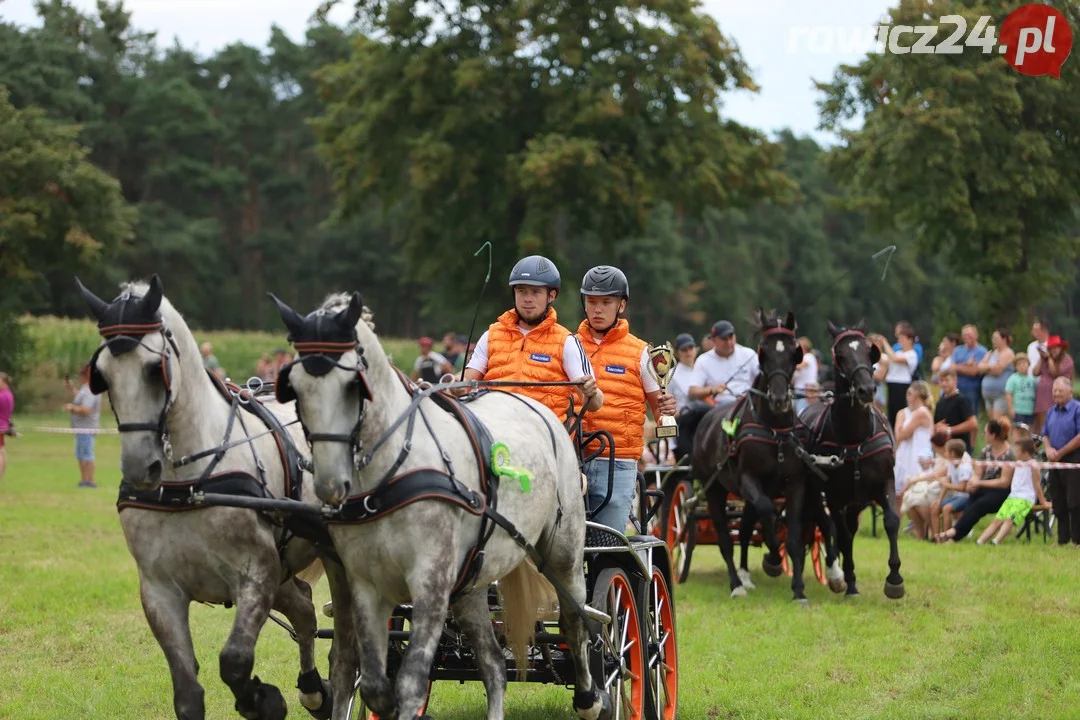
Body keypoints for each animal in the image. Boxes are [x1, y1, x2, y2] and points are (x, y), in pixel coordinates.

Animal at [77, 278, 349, 720]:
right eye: (100, 375)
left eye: (154, 369)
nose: (140, 467)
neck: (189, 483)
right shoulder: (159, 590)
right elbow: (188, 693)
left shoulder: (256, 574)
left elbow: (234, 661)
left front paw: (263, 700)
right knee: (304, 610)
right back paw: (313, 691)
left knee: (344, 644)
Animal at [270, 291, 609, 720]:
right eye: (293, 386)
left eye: (352, 385)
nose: (329, 483)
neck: (394, 471)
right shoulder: (366, 583)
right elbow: (377, 683)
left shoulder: (430, 582)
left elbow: (411, 680)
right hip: (473, 581)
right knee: (493, 662)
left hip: (563, 553)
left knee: (575, 621)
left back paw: (591, 698)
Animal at [695, 310, 812, 604]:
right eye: (765, 352)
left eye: (794, 352)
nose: (780, 399)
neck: (774, 430)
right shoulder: (748, 478)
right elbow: (767, 511)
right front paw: (773, 556)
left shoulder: (795, 484)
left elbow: (793, 536)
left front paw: (798, 590)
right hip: (714, 488)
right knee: (726, 537)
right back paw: (736, 584)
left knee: (746, 527)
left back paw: (745, 575)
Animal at [803, 323, 902, 600]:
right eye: (840, 355)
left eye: (871, 352)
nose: (867, 389)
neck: (855, 438)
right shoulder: (835, 496)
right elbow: (842, 535)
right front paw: (847, 581)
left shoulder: (885, 481)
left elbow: (891, 522)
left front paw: (894, 579)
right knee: (828, 526)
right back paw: (839, 574)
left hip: (856, 503)